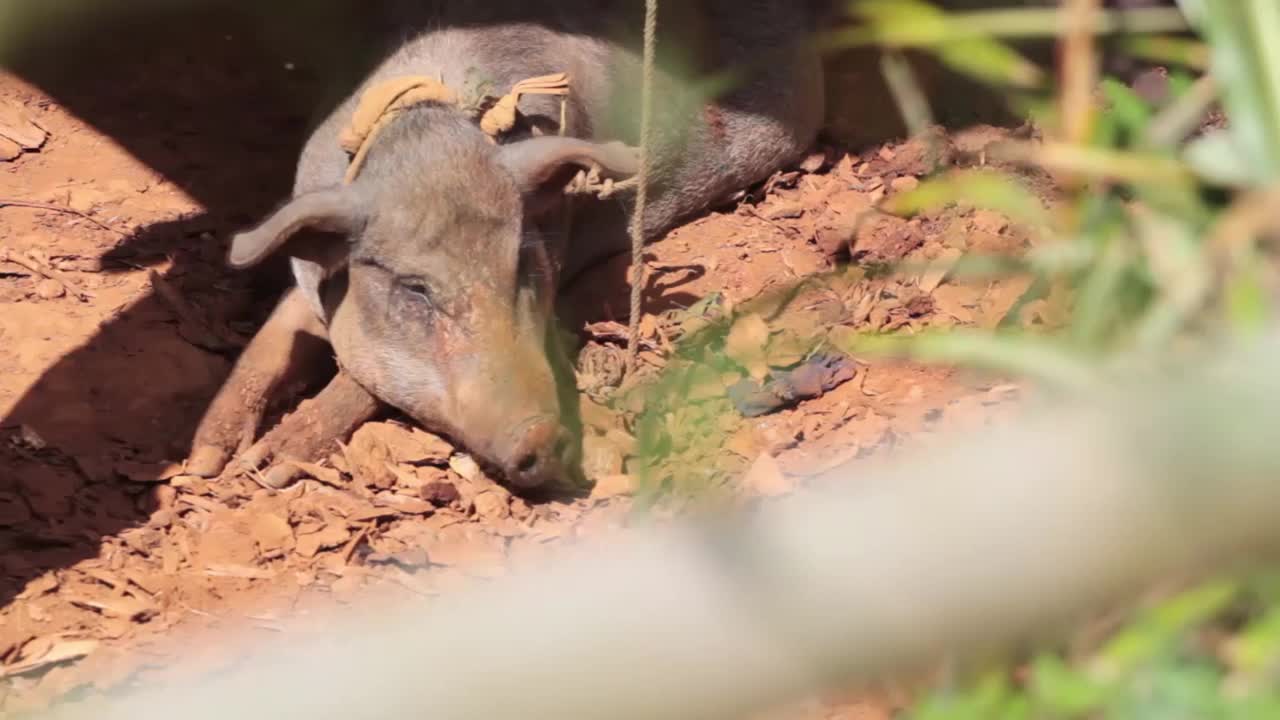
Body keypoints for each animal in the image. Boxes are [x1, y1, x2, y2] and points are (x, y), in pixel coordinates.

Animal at [186, 0, 829, 489]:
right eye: (415, 289)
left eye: (522, 263)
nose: (543, 439)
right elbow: (273, 341)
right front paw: (209, 462)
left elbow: (357, 378)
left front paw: (265, 466)